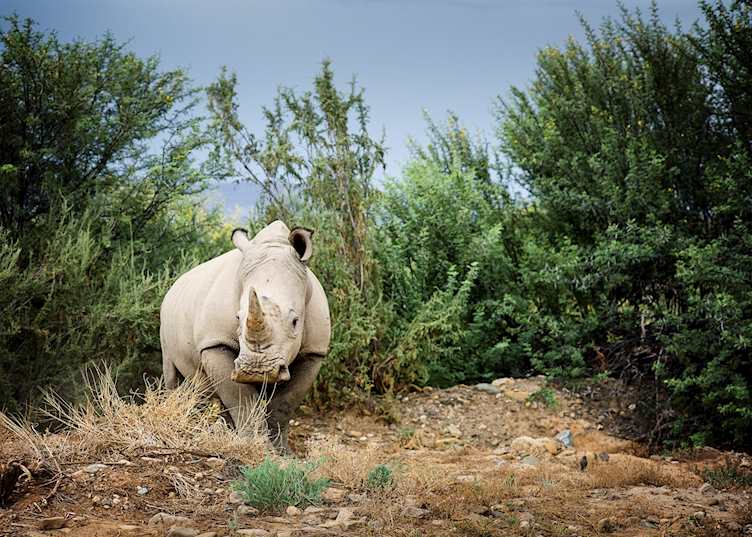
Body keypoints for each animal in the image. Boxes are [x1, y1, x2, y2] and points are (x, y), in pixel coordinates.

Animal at [160, 220, 331, 452]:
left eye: (295, 322)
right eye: (237, 318)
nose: (256, 370)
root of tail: (176, 282)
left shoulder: (314, 352)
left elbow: (285, 403)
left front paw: (281, 452)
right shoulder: (216, 342)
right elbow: (240, 398)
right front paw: (254, 445)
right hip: (165, 315)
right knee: (173, 372)